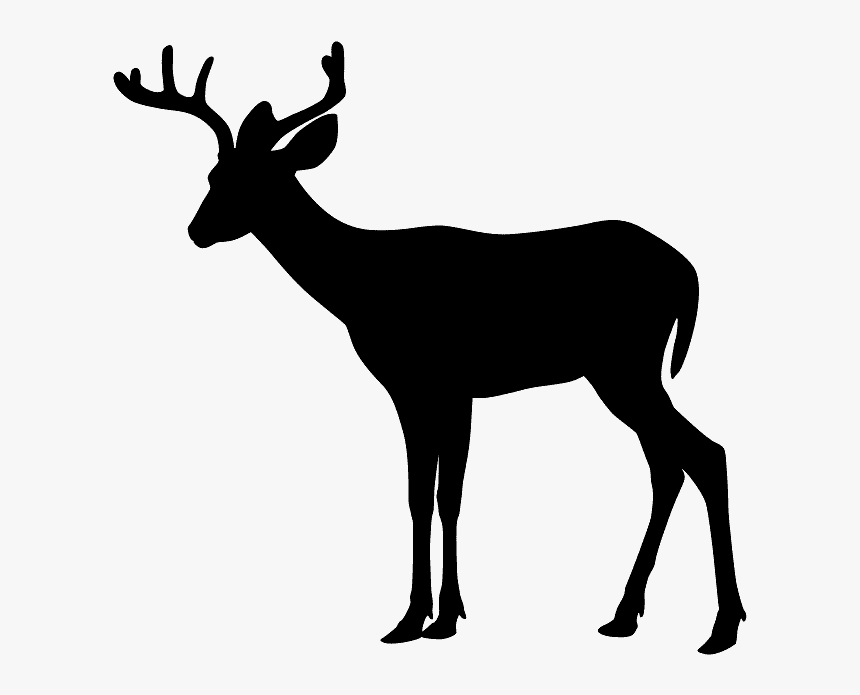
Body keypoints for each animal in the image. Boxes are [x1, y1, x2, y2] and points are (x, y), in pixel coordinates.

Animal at [114, 42, 746, 654]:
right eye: (214, 174)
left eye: (257, 180)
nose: (196, 230)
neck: (364, 286)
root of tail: (687, 271)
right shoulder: (422, 390)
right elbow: (424, 496)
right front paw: (424, 616)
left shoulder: (442, 382)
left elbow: (443, 496)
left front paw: (435, 617)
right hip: (622, 372)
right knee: (669, 464)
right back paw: (625, 615)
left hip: (625, 364)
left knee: (704, 454)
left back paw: (722, 625)